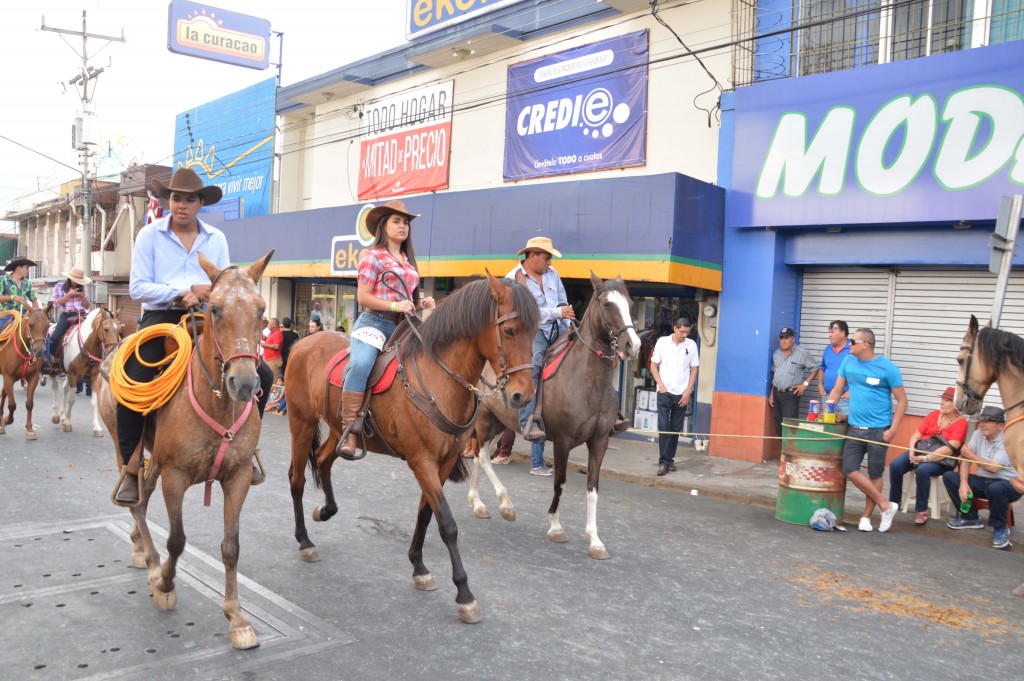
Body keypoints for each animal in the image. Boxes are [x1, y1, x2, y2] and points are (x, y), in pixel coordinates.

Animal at [0, 301, 52, 438]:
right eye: (31, 325)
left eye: (48, 325)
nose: (39, 351)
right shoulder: (8, 377)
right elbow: (12, 405)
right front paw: (7, 419)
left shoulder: (33, 377)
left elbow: (29, 403)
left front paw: (29, 429)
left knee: (3, 393)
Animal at [93, 249, 272, 647]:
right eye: (216, 308)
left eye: (261, 309)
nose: (244, 383)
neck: (216, 402)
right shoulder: (175, 477)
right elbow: (176, 540)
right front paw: (164, 583)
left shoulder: (237, 478)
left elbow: (231, 546)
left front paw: (237, 618)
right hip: (124, 447)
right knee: (135, 499)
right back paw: (150, 561)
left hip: (155, 461)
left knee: (142, 498)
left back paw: (140, 549)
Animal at [280, 272, 536, 622]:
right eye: (509, 331)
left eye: (536, 331)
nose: (523, 395)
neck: (438, 378)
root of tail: (303, 343)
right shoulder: (421, 460)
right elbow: (447, 524)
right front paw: (464, 594)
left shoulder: (444, 461)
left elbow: (426, 514)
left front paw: (419, 566)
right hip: (301, 421)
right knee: (297, 477)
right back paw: (304, 541)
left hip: (338, 429)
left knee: (322, 460)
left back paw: (326, 511)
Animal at [466, 270, 638, 557]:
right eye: (606, 304)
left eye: (630, 305)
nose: (632, 345)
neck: (586, 380)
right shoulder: (562, 441)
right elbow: (561, 482)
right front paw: (556, 527)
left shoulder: (600, 440)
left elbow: (592, 488)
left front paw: (595, 539)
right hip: (484, 419)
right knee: (480, 455)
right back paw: (503, 504)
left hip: (499, 423)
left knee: (481, 455)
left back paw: (477, 503)